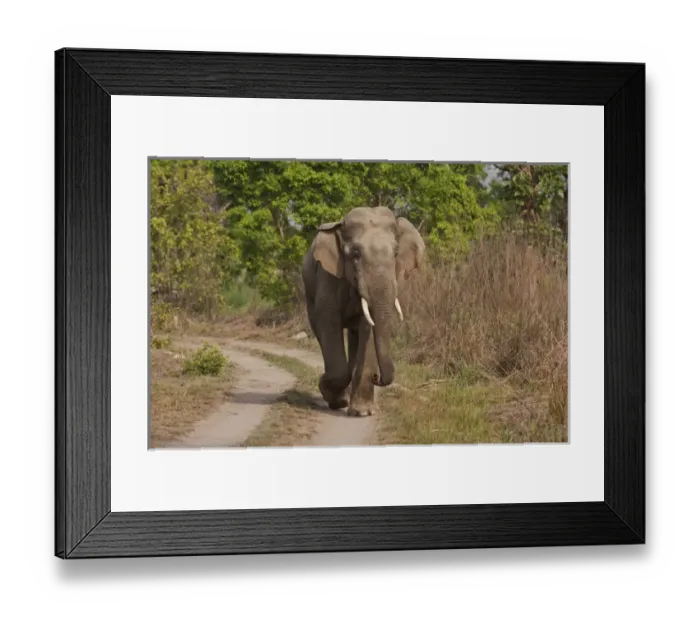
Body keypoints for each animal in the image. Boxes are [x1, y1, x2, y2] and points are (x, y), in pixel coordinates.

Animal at [302, 206, 426, 417]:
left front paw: (363, 413)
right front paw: (330, 394)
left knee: (354, 335)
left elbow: (367, 328)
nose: (377, 377)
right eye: (356, 254)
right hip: (308, 292)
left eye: (396, 253)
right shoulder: (329, 277)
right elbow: (329, 322)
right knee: (319, 329)